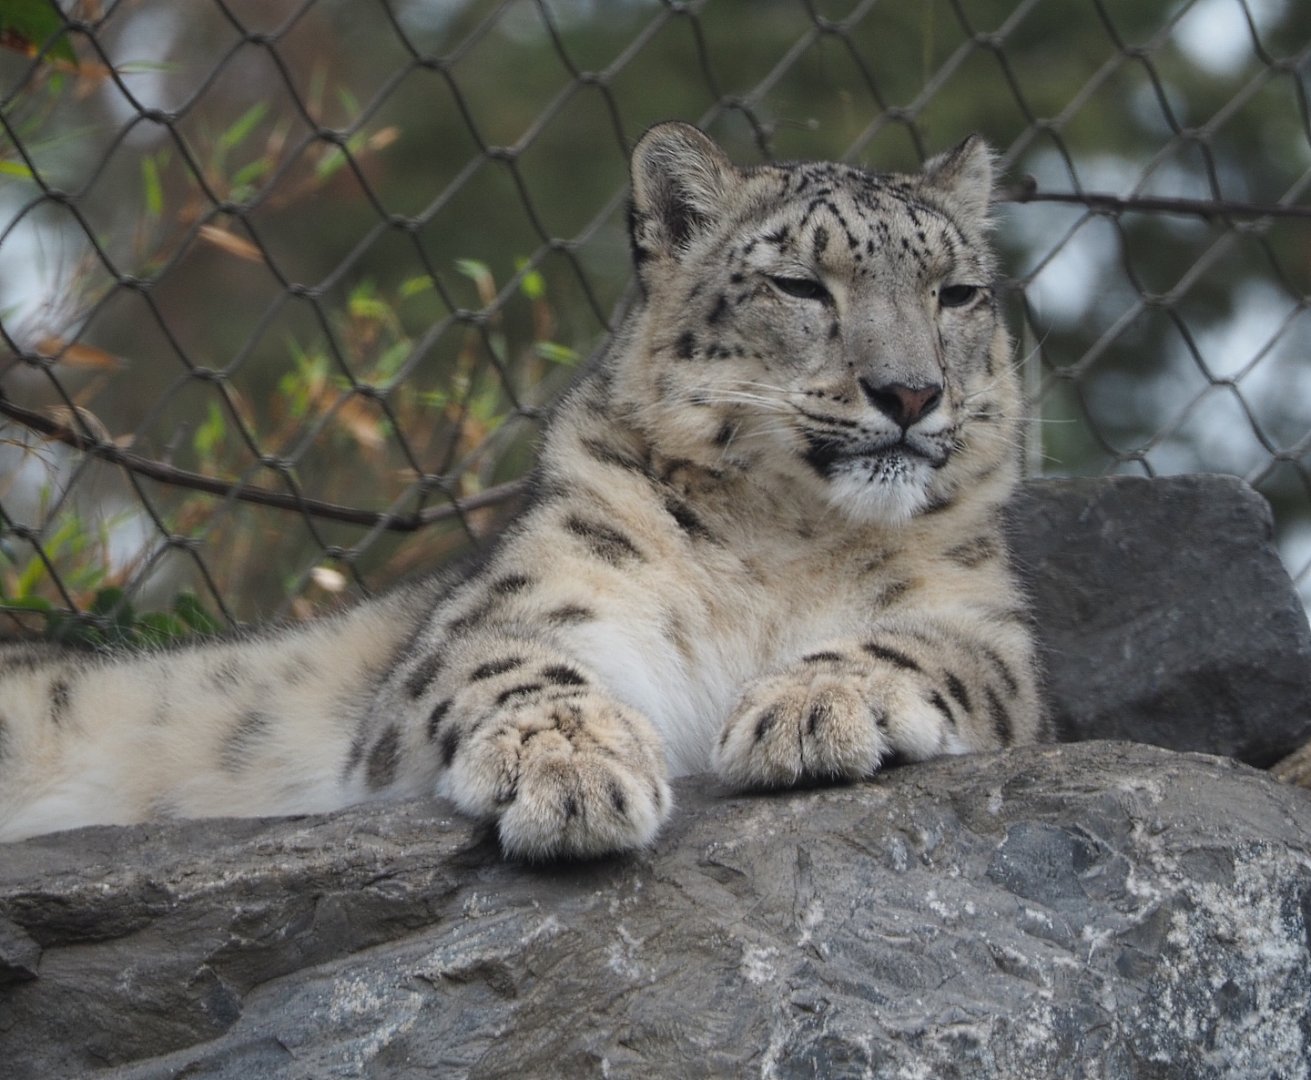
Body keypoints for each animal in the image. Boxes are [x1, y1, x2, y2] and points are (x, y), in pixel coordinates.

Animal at [0, 122, 1045, 859]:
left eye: (956, 294)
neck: (785, 538)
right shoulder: (533, 602)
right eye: (798, 285)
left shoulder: (984, 625)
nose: (909, 392)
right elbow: (510, 666)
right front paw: (570, 766)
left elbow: (930, 649)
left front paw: (811, 706)